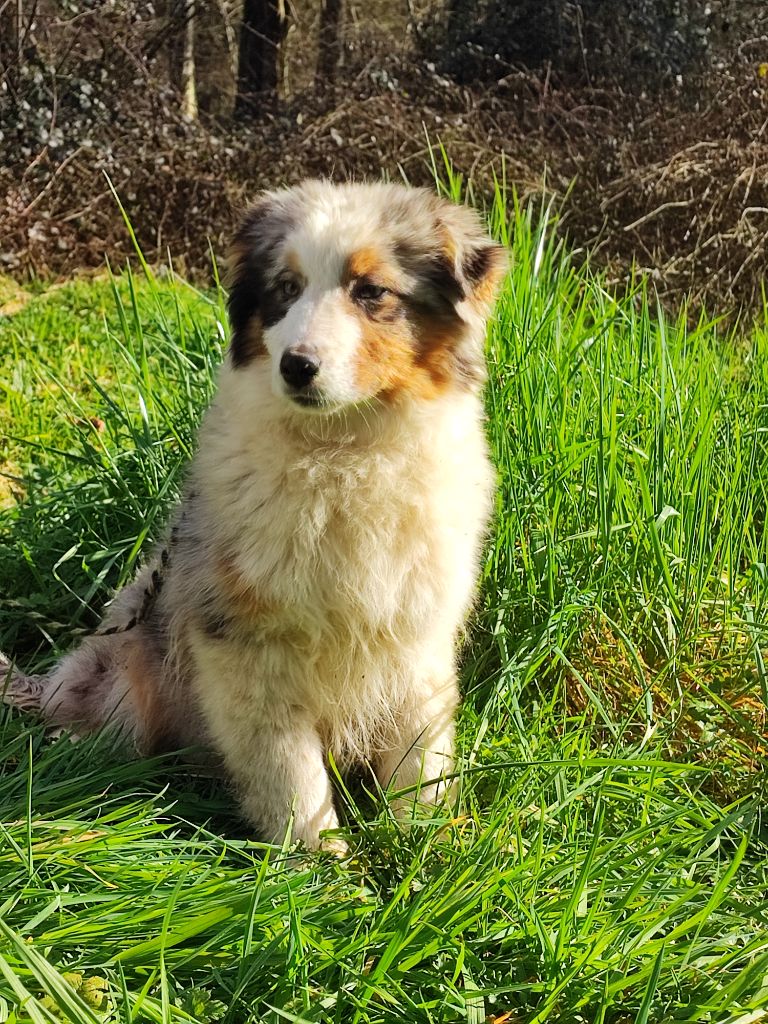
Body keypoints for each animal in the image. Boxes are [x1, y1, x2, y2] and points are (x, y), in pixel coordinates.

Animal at [2, 180, 506, 851]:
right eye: (286, 288)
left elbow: (420, 758)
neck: (341, 458)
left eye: (371, 292)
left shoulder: (417, 633)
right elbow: (292, 777)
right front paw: (322, 863)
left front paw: (422, 845)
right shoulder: (246, 646)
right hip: (126, 675)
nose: (297, 365)